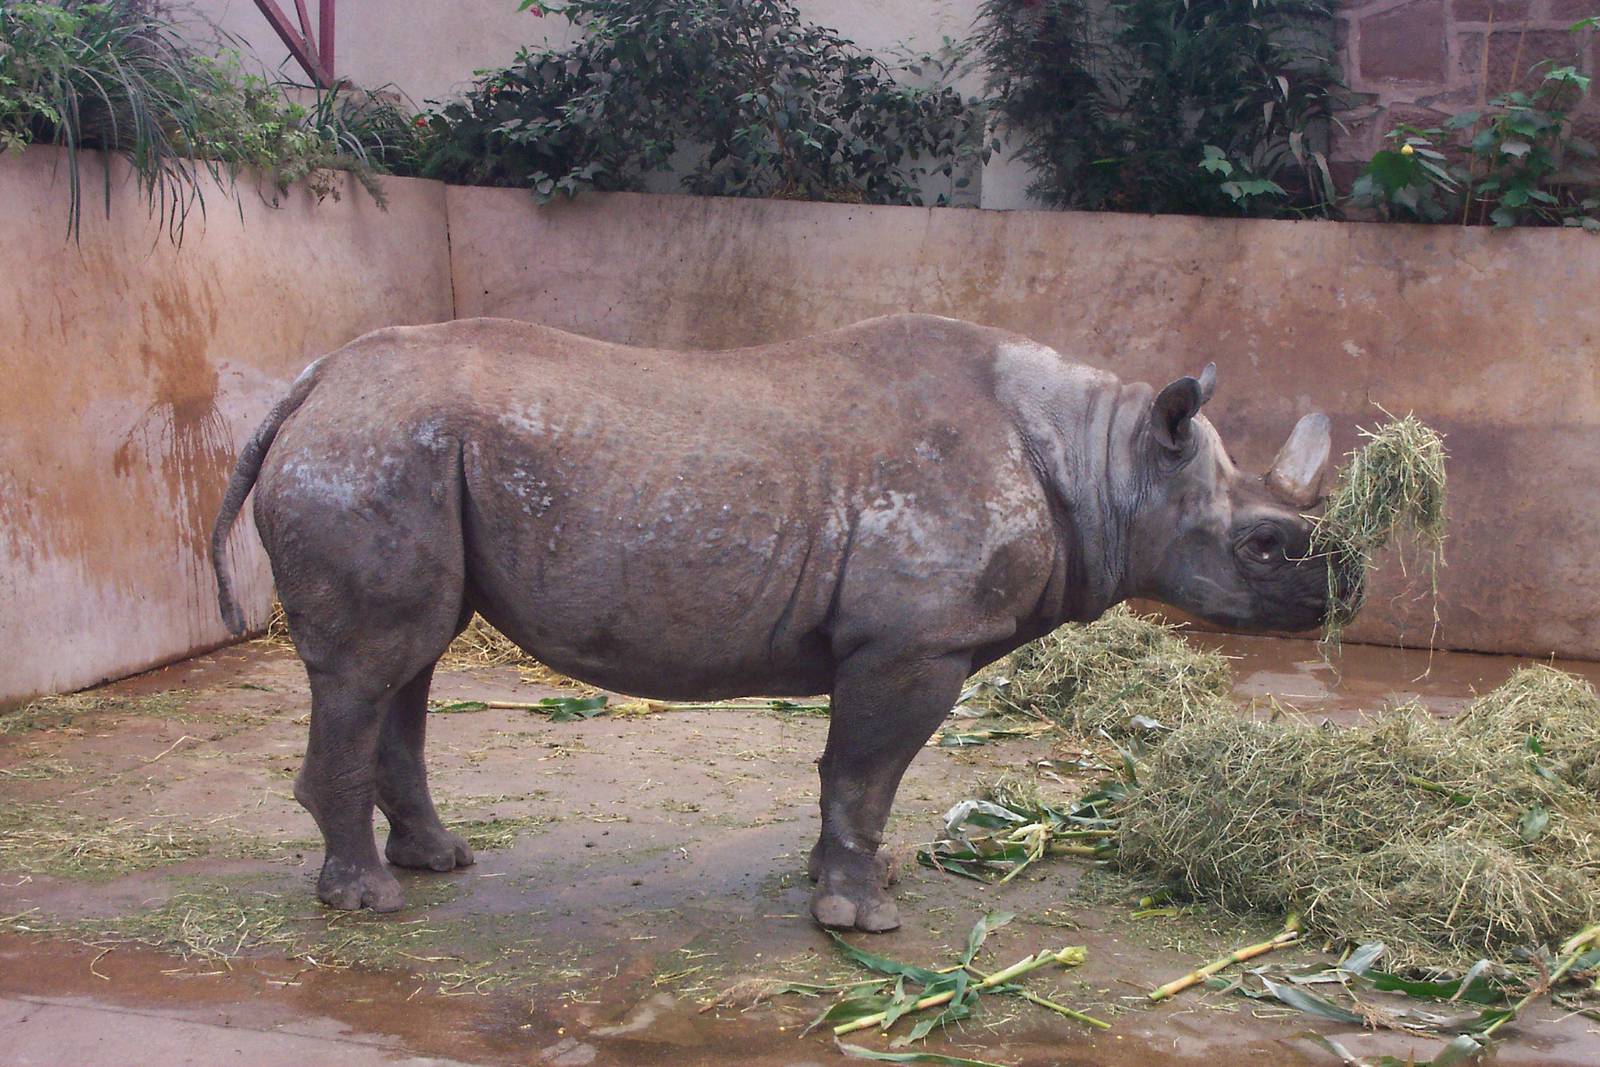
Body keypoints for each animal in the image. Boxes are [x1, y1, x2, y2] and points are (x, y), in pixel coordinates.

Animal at [211, 313, 1334, 933]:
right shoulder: (915, 640)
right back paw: (368, 901)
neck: (1103, 458)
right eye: (1265, 545)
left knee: (411, 661)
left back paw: (438, 861)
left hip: (395, 447)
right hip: (368, 451)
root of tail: (312, 382)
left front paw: (855, 878)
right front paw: (862, 918)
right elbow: (865, 771)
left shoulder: (894, 641)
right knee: (372, 664)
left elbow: (855, 775)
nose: (1338, 589)